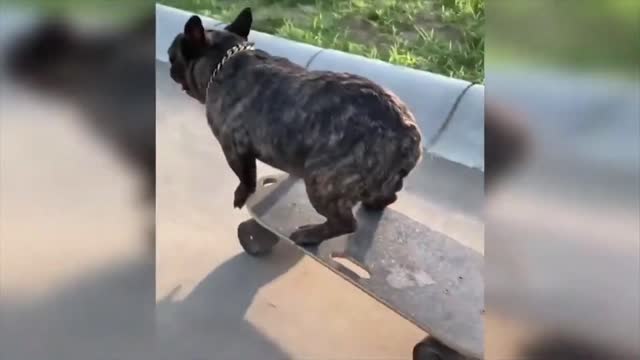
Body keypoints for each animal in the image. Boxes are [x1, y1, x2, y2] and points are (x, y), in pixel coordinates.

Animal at [168, 8, 422, 245]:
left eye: (172, 56)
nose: (170, 68)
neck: (225, 59)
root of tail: (407, 132)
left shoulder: (234, 149)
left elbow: (246, 177)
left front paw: (241, 196)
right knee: (389, 195)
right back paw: (374, 203)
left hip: (322, 181)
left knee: (345, 223)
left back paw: (309, 235)